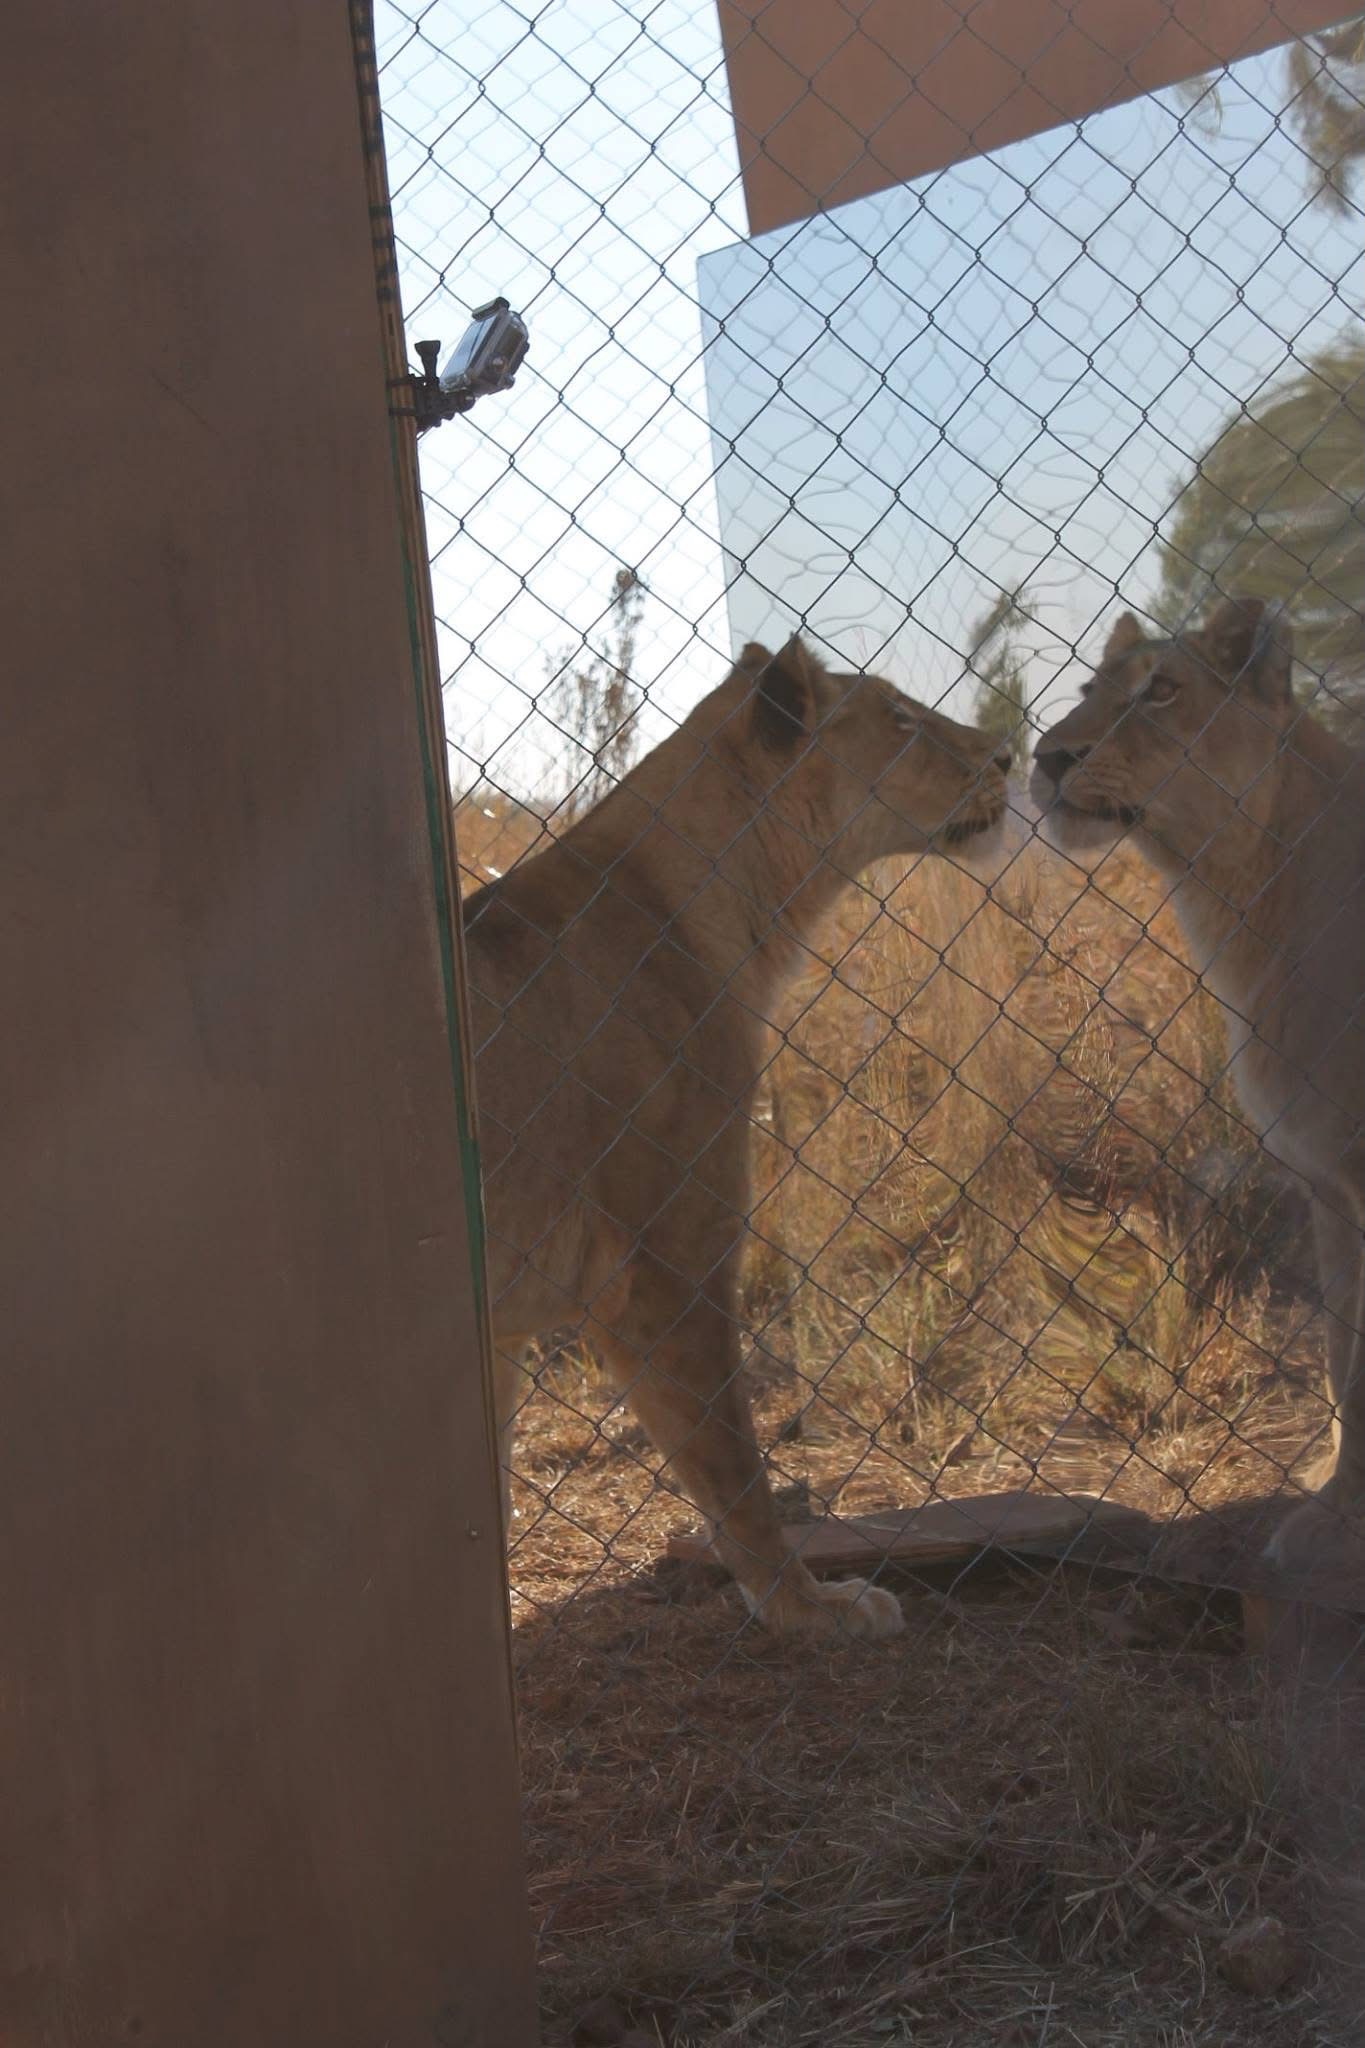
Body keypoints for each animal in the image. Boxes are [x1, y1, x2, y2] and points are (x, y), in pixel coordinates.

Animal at [464, 636, 1010, 1636]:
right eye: (900, 719)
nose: (1005, 754)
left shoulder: (498, 1325)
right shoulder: (664, 1272)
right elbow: (734, 1469)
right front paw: (811, 1609)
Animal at [1031, 597, 1365, 1582]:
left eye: (1162, 692)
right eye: (1088, 688)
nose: (1046, 757)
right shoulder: (1325, 1183)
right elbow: (1340, 1350)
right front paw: (1331, 1498)